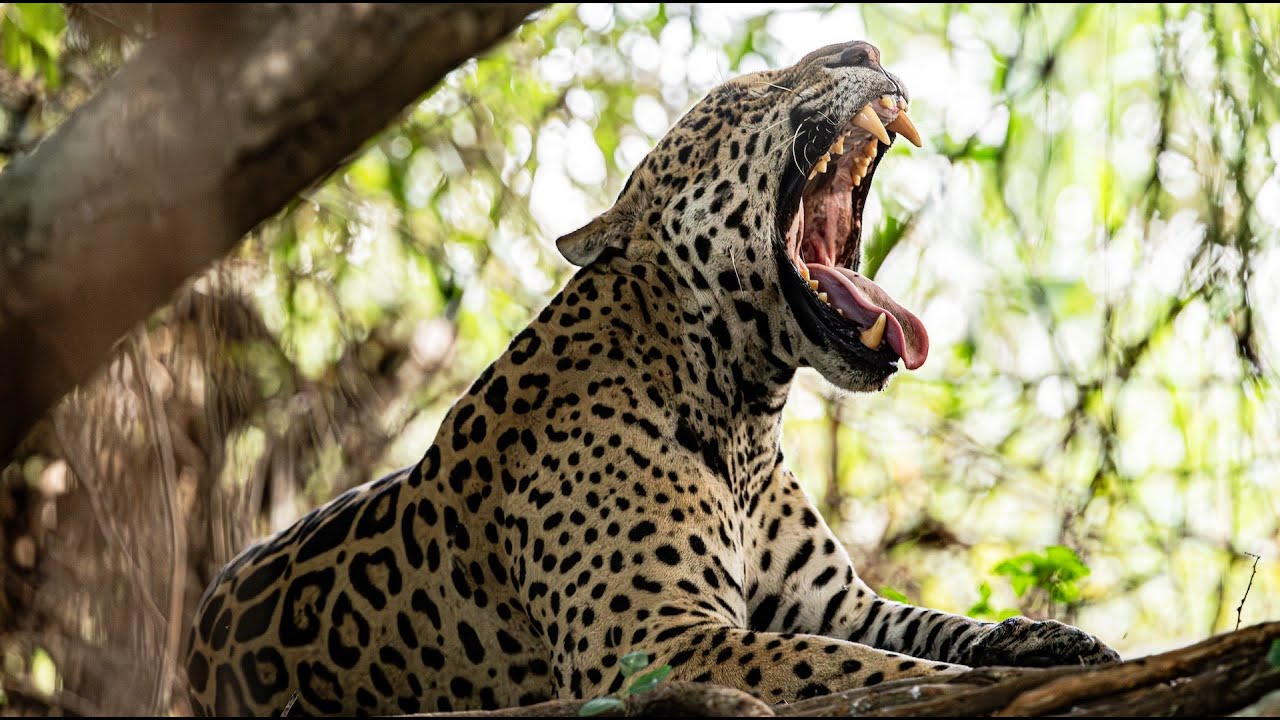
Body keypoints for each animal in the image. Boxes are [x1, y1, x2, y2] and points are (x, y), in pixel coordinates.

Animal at [185, 40, 1119, 716]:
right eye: (748, 94)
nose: (863, 47)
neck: (747, 414)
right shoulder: (655, 645)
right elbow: (855, 668)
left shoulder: (837, 602)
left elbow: (933, 628)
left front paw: (1054, 643)